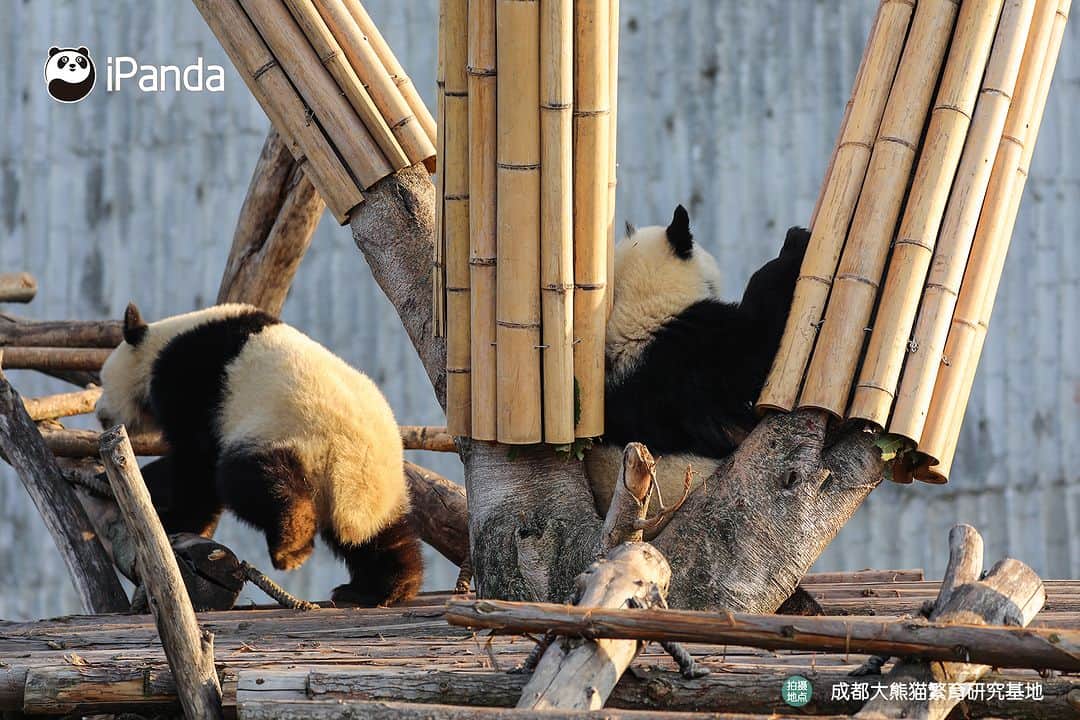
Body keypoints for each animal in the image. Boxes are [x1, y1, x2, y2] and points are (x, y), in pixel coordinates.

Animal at [95, 302, 421, 606]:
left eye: (102, 382)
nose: (99, 413)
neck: (163, 339)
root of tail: (350, 463)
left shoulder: (191, 384)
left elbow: (197, 463)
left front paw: (176, 518)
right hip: (382, 490)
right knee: (383, 539)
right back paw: (383, 588)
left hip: (284, 436)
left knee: (254, 482)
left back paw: (291, 543)